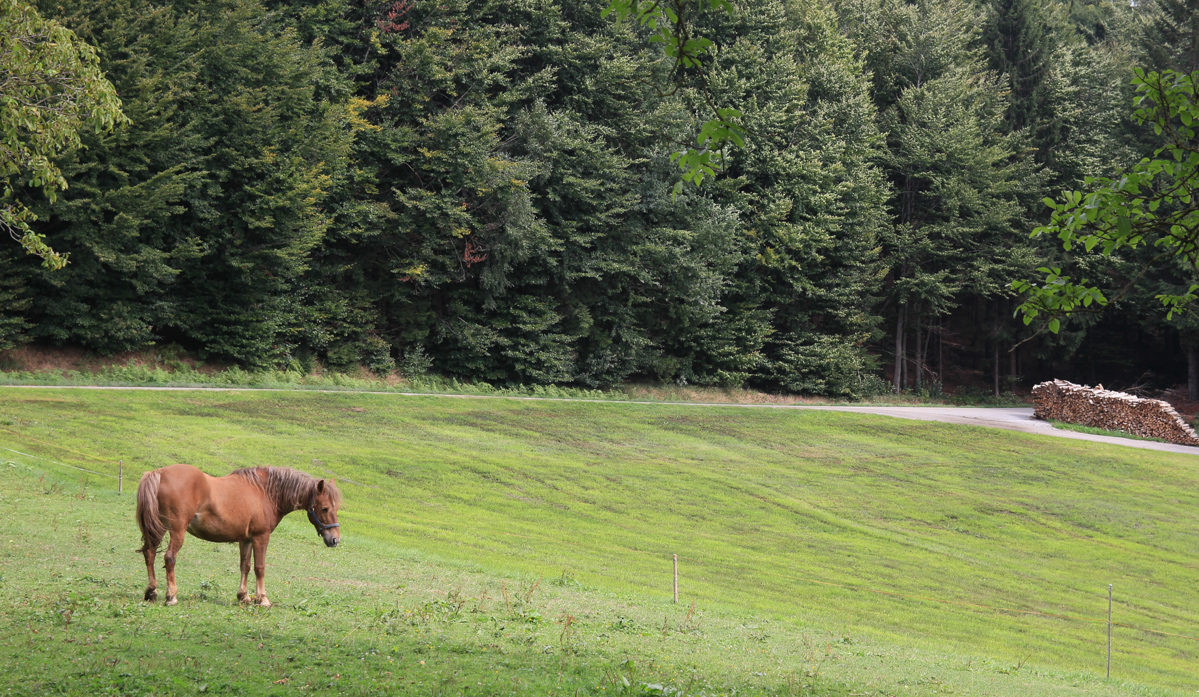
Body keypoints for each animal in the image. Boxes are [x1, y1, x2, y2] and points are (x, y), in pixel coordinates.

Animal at [137, 465, 342, 607]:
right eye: (325, 508)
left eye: (336, 507)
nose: (335, 540)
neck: (265, 492)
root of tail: (158, 473)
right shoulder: (261, 537)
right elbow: (260, 568)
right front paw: (262, 599)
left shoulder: (246, 539)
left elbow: (245, 566)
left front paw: (243, 596)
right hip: (176, 531)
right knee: (169, 558)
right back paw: (171, 596)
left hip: (158, 530)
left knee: (149, 554)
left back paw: (151, 592)